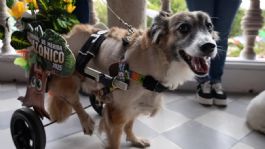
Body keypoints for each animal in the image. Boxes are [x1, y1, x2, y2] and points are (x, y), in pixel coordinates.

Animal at [46, 10, 218, 149]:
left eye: (209, 26)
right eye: (184, 28)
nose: (210, 46)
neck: (155, 60)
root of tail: (67, 35)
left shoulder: (134, 106)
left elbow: (129, 125)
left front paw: (135, 140)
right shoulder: (118, 112)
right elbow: (115, 140)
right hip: (69, 82)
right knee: (74, 102)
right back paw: (86, 122)